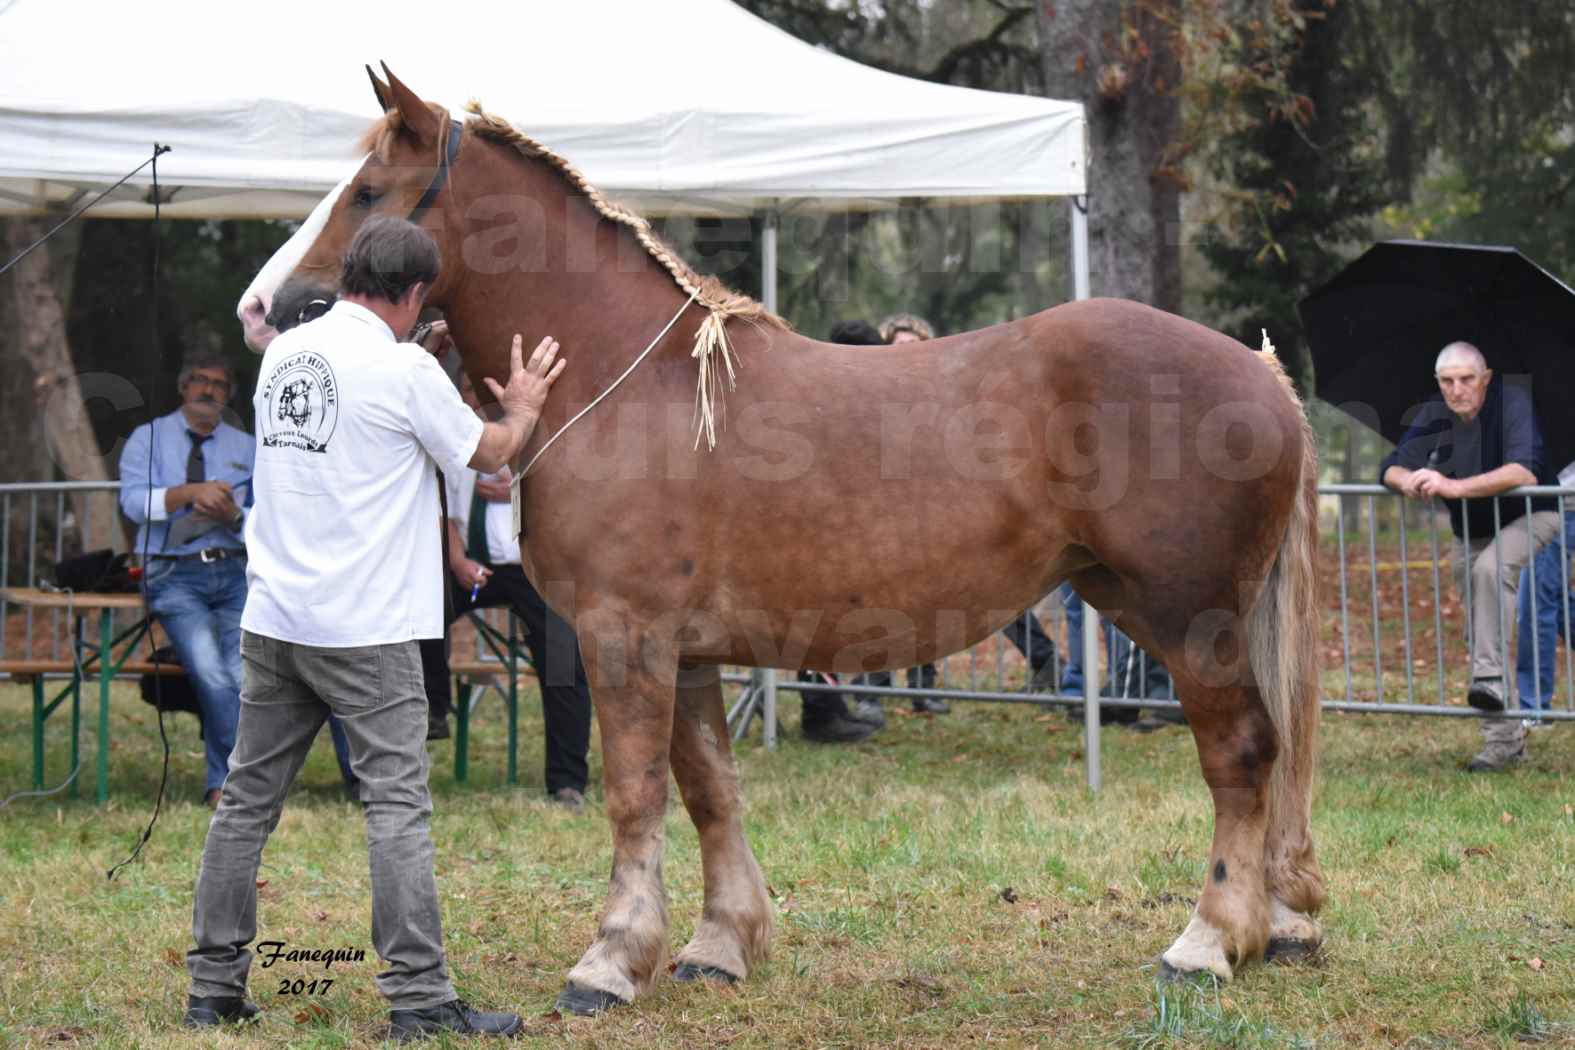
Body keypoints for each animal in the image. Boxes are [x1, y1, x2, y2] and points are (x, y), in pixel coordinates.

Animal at [242, 67, 1329, 1020]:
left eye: (370, 190)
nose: (263, 309)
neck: (626, 379)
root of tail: (1264, 376)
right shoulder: (685, 652)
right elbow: (708, 789)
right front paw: (718, 944)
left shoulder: (622, 636)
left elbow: (633, 795)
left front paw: (608, 962)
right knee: (1269, 755)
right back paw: (1278, 929)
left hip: (1191, 619)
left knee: (1240, 754)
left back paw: (1207, 943)